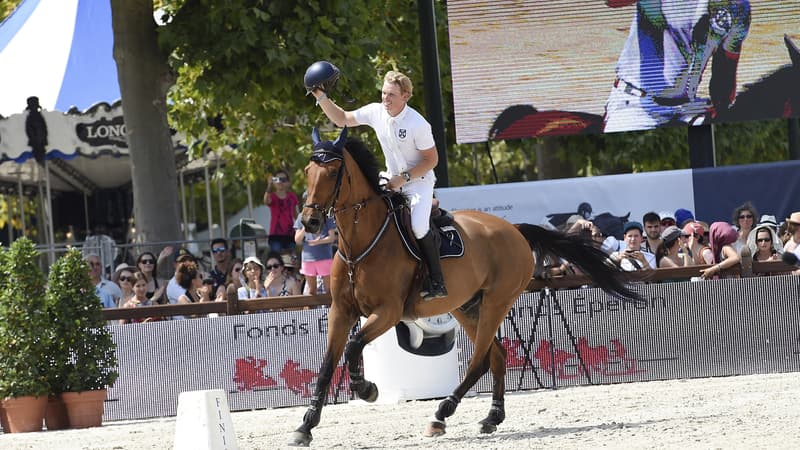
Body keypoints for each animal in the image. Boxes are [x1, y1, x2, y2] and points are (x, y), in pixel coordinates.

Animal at [290, 126, 640, 446]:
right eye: (308, 172)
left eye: (332, 172)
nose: (309, 223)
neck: (361, 245)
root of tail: (514, 229)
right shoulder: (341, 311)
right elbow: (327, 366)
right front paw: (305, 426)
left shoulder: (388, 312)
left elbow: (353, 347)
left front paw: (367, 388)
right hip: (466, 307)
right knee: (496, 355)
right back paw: (492, 417)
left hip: (496, 303)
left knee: (480, 360)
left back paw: (441, 414)